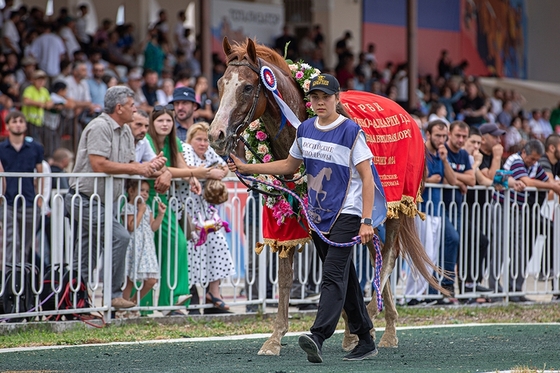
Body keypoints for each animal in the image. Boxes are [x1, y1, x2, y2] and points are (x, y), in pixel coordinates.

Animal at [210, 37, 446, 354]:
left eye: (247, 87)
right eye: (221, 83)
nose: (216, 136)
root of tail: (407, 113)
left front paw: (352, 329)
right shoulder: (289, 218)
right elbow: (287, 277)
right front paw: (275, 339)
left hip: (394, 206)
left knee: (388, 255)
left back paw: (378, 323)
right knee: (376, 254)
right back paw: (385, 327)